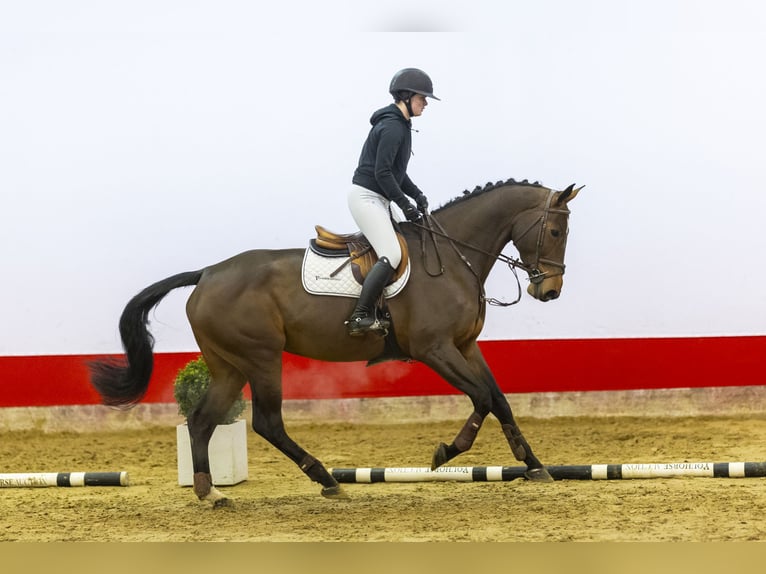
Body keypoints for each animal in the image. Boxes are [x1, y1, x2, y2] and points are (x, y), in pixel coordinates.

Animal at [88, 179, 584, 508]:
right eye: (556, 232)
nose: (549, 291)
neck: (452, 257)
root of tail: (206, 273)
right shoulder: (435, 350)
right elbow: (481, 397)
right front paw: (445, 453)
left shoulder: (464, 347)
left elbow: (498, 399)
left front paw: (533, 465)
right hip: (260, 357)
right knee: (266, 422)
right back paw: (324, 478)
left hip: (228, 365)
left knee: (203, 420)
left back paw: (210, 492)